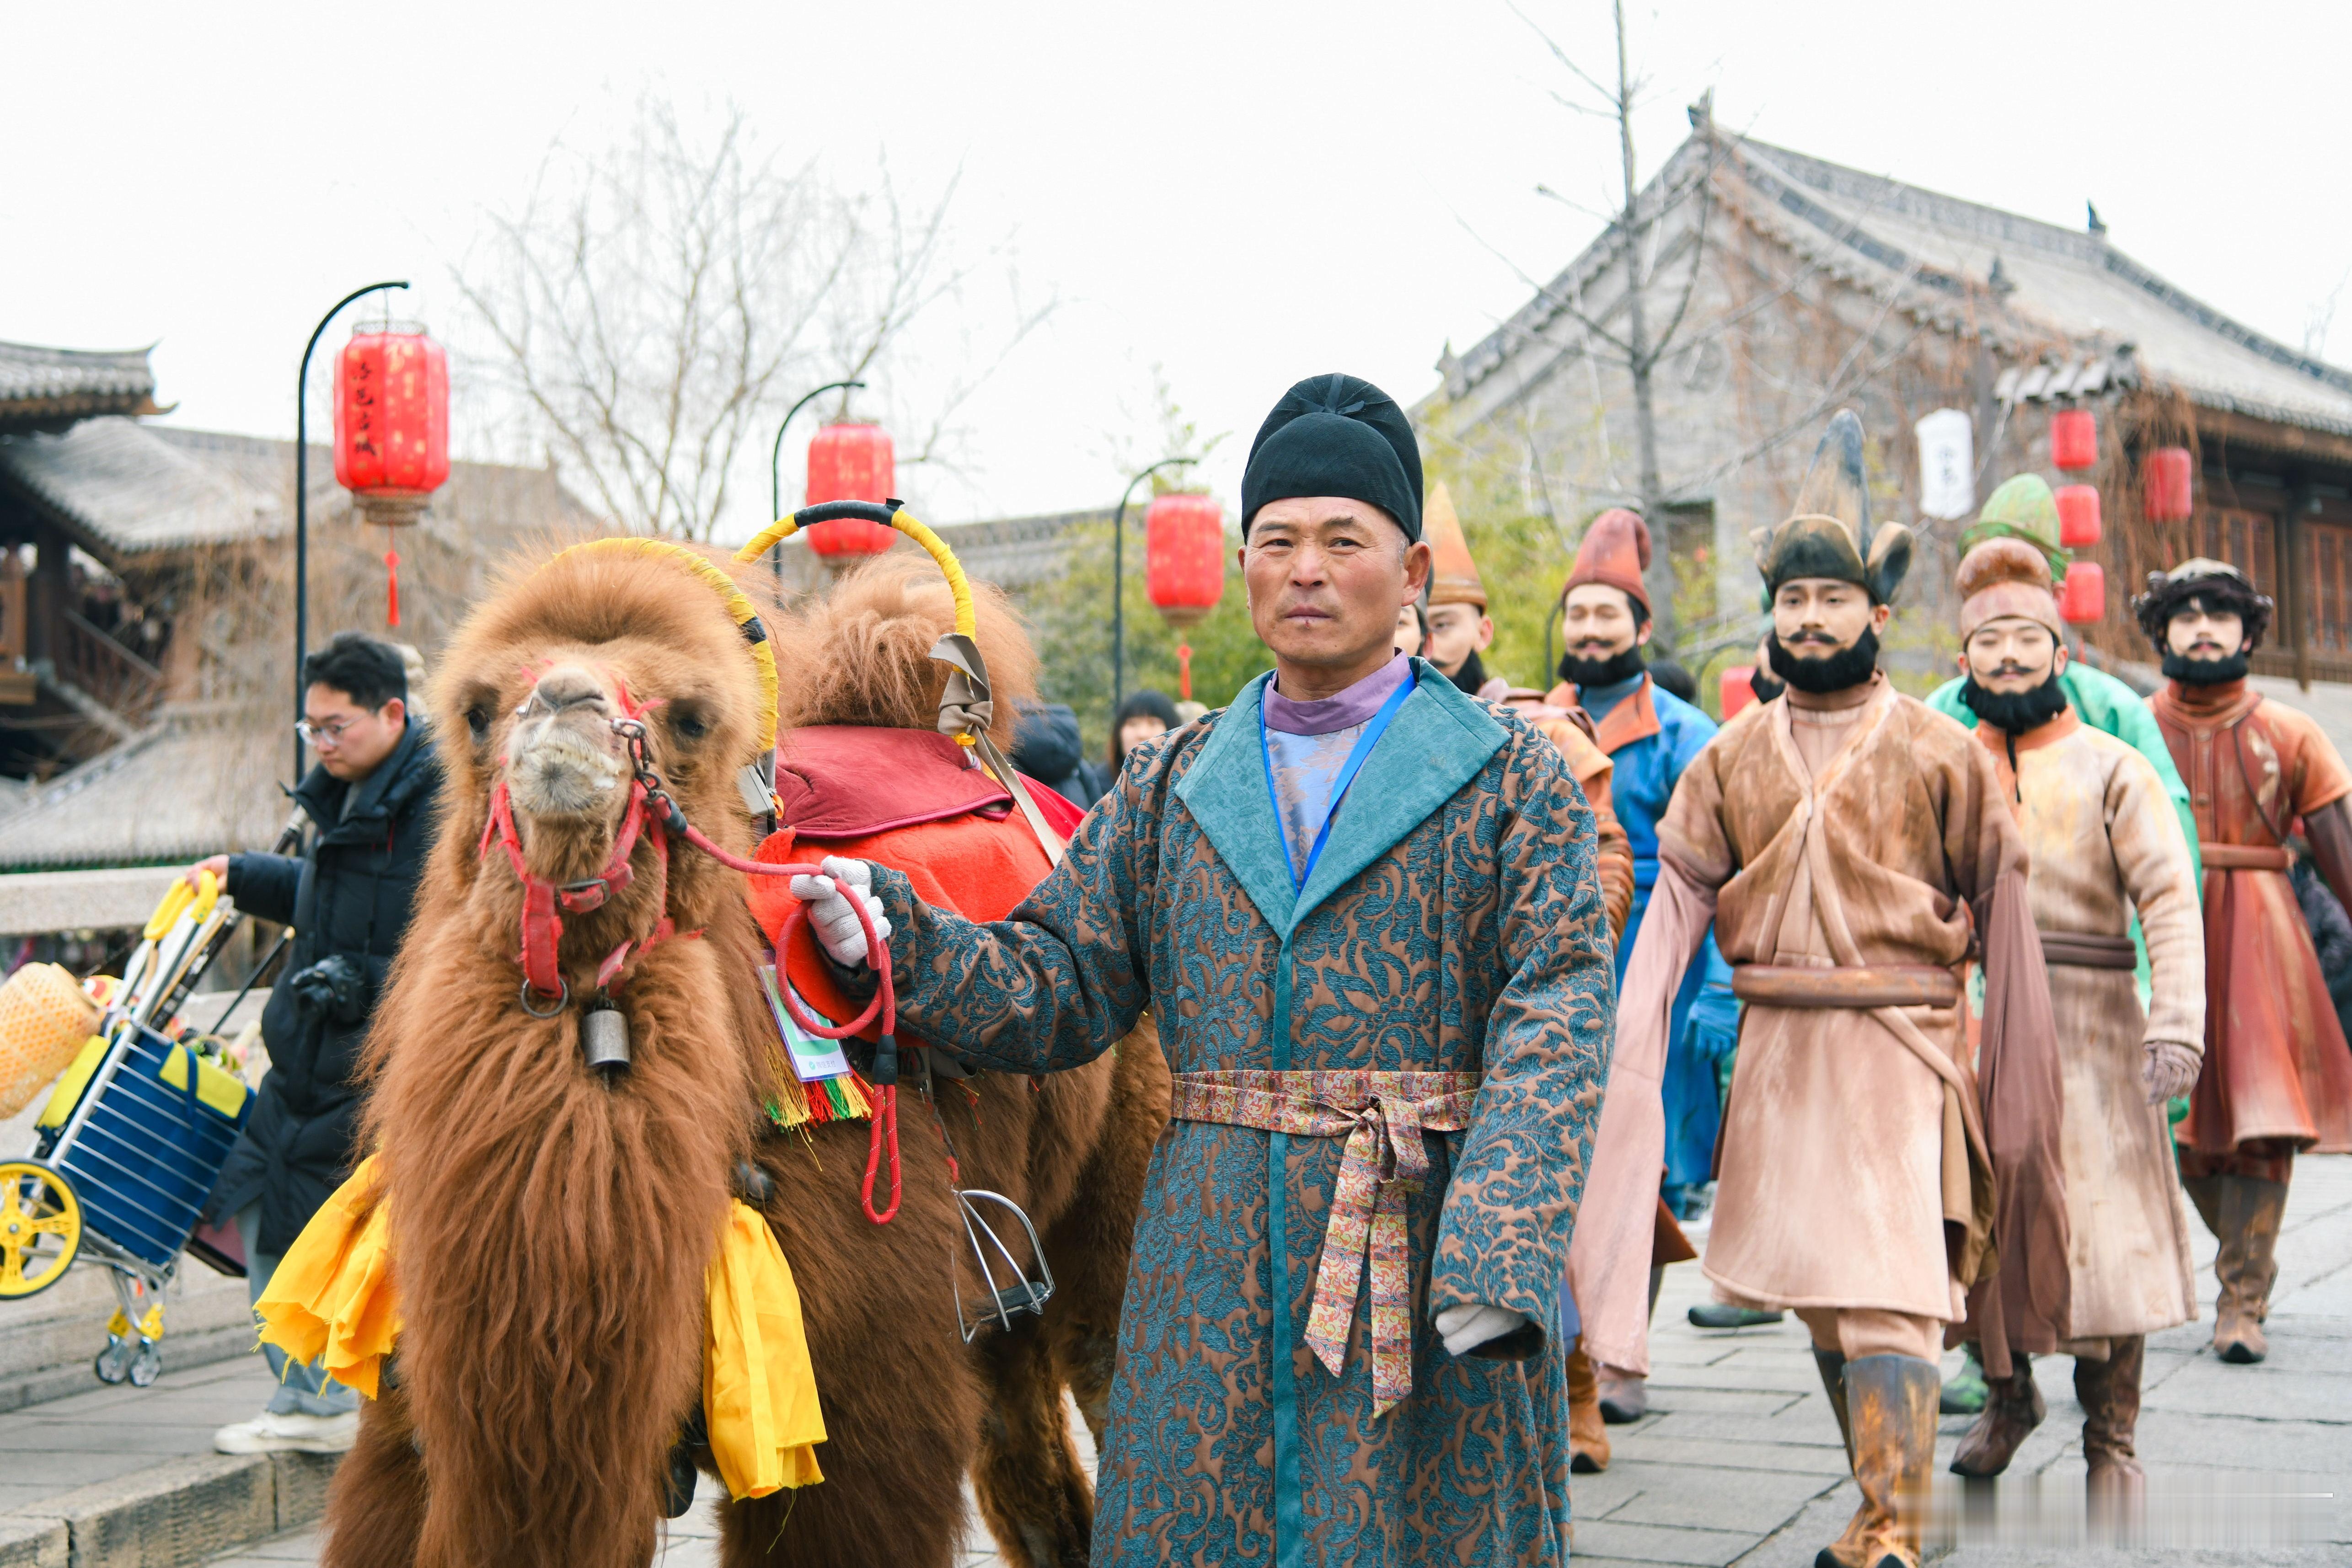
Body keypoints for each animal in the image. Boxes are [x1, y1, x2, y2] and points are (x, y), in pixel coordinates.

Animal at [327, 543, 1171, 1568]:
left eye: (690, 717)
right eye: (479, 709)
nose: (562, 705)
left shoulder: (861, 1403)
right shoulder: (413, 1413)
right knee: (1034, 1472)